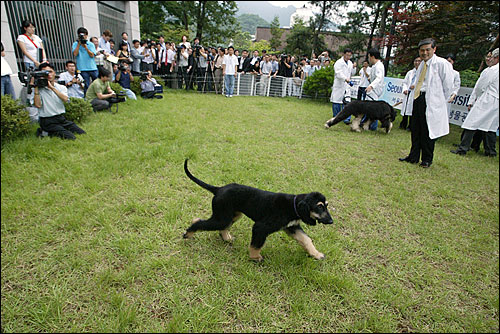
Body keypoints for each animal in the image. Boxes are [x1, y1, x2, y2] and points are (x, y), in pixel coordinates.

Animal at [183, 160, 332, 262]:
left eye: (326, 205)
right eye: (319, 206)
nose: (331, 221)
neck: (292, 206)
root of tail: (219, 189)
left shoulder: (292, 227)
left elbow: (306, 240)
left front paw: (316, 254)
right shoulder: (261, 227)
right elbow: (256, 244)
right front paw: (255, 257)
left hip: (232, 214)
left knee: (222, 226)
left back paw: (226, 238)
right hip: (223, 216)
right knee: (199, 221)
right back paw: (188, 234)